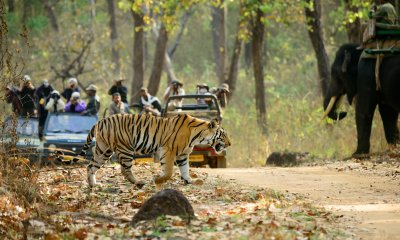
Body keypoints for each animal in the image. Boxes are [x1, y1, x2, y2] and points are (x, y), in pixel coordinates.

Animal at [70, 113, 230, 188]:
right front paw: (157, 179)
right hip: (125, 148)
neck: (198, 137)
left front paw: (189, 181)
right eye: (223, 134)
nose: (229, 144)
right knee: (125, 169)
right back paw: (139, 183)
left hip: (104, 150)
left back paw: (93, 185)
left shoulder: (183, 155)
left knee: (91, 166)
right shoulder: (169, 150)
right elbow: (169, 171)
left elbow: (185, 169)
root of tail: (100, 121)